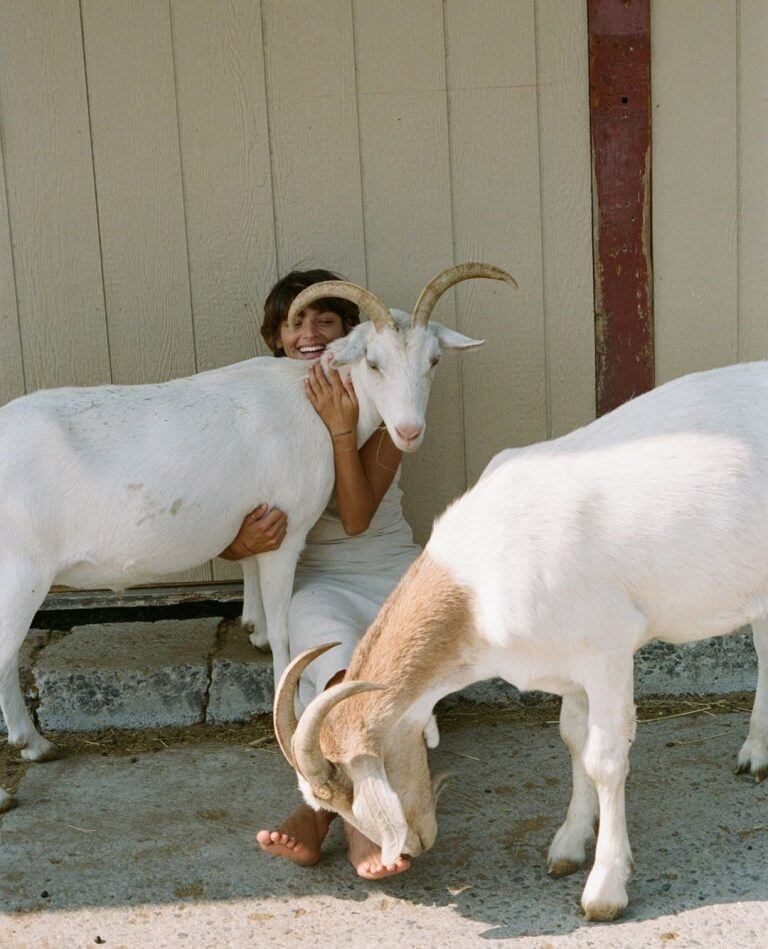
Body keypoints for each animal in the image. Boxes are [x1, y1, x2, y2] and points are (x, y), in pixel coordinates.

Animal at [0, 262, 520, 812]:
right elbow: (288, 634)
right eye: (374, 363)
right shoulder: (288, 531)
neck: (310, 404)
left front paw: (254, 628)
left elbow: (251, 571)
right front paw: (282, 711)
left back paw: (35, 745)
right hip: (21, 570)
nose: (408, 432)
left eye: (434, 361)